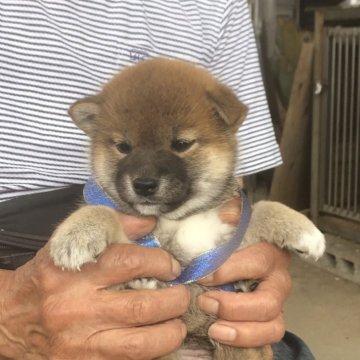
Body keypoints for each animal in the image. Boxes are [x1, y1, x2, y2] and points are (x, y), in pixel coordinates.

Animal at [50, 57, 326, 358]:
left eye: (181, 144)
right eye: (123, 147)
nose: (143, 184)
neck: (179, 218)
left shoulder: (224, 243)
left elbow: (263, 207)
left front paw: (305, 231)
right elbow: (103, 212)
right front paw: (75, 235)